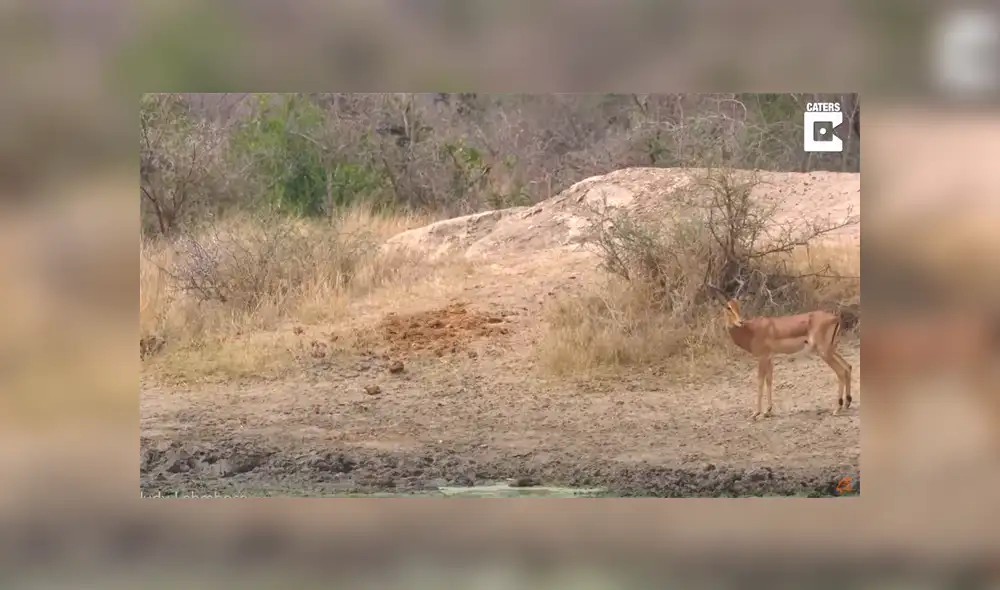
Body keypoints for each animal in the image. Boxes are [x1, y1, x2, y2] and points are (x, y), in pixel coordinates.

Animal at [707, 284, 852, 420]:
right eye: (728, 307)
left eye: (738, 306)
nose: (740, 321)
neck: (751, 331)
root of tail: (835, 318)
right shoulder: (770, 358)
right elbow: (769, 380)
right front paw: (767, 411)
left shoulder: (762, 357)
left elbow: (760, 382)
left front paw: (756, 413)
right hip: (830, 350)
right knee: (848, 367)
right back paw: (847, 403)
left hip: (824, 352)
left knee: (840, 371)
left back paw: (837, 408)